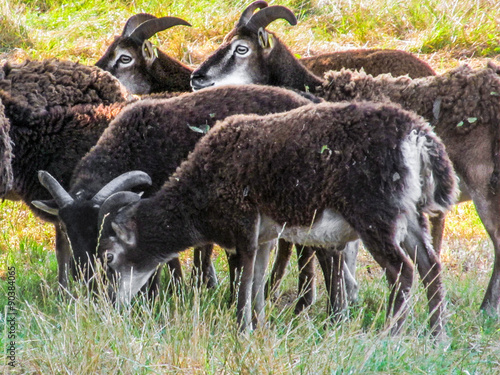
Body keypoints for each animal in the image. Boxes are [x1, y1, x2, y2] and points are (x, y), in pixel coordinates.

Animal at [96, 101, 458, 336]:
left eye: (109, 256)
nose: (112, 303)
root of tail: (416, 134)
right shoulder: (265, 236)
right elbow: (257, 279)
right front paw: (257, 325)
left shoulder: (244, 225)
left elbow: (244, 279)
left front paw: (241, 328)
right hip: (410, 215)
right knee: (430, 266)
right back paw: (435, 335)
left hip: (376, 217)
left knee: (402, 271)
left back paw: (390, 334)